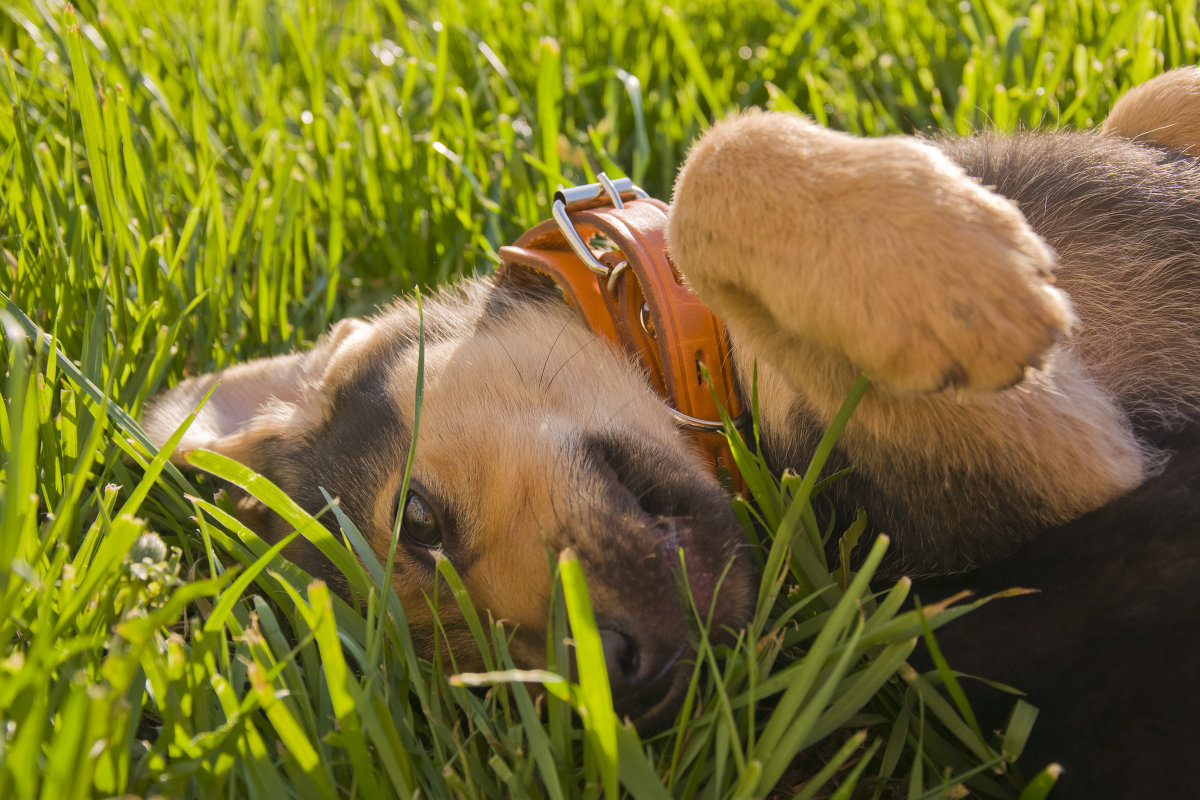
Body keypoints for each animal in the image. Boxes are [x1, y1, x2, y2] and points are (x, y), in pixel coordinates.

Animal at [142, 67, 1200, 796]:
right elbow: (708, 177)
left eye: (419, 522)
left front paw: (945, 249)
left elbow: (1153, 95)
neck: (695, 347)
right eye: (479, 696)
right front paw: (943, 280)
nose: (626, 682)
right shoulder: (1051, 461)